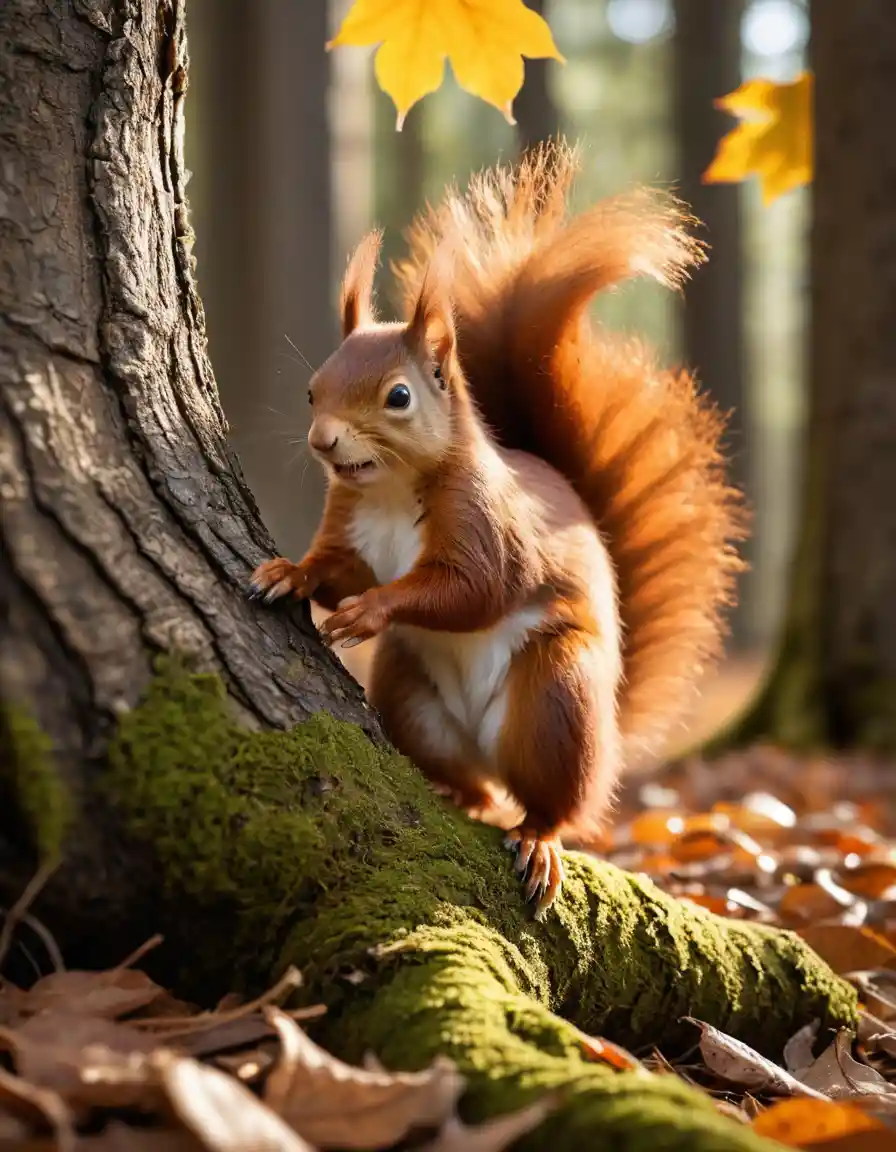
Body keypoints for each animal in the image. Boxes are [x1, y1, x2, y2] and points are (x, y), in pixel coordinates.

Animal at [250, 141, 744, 917]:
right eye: (312, 390)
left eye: (398, 396)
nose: (324, 442)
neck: (389, 490)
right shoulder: (350, 527)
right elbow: (332, 570)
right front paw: (287, 573)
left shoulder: (488, 527)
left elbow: (472, 591)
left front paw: (371, 609)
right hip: (411, 697)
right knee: (477, 788)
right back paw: (457, 791)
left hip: (555, 699)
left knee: (557, 803)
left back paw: (540, 840)